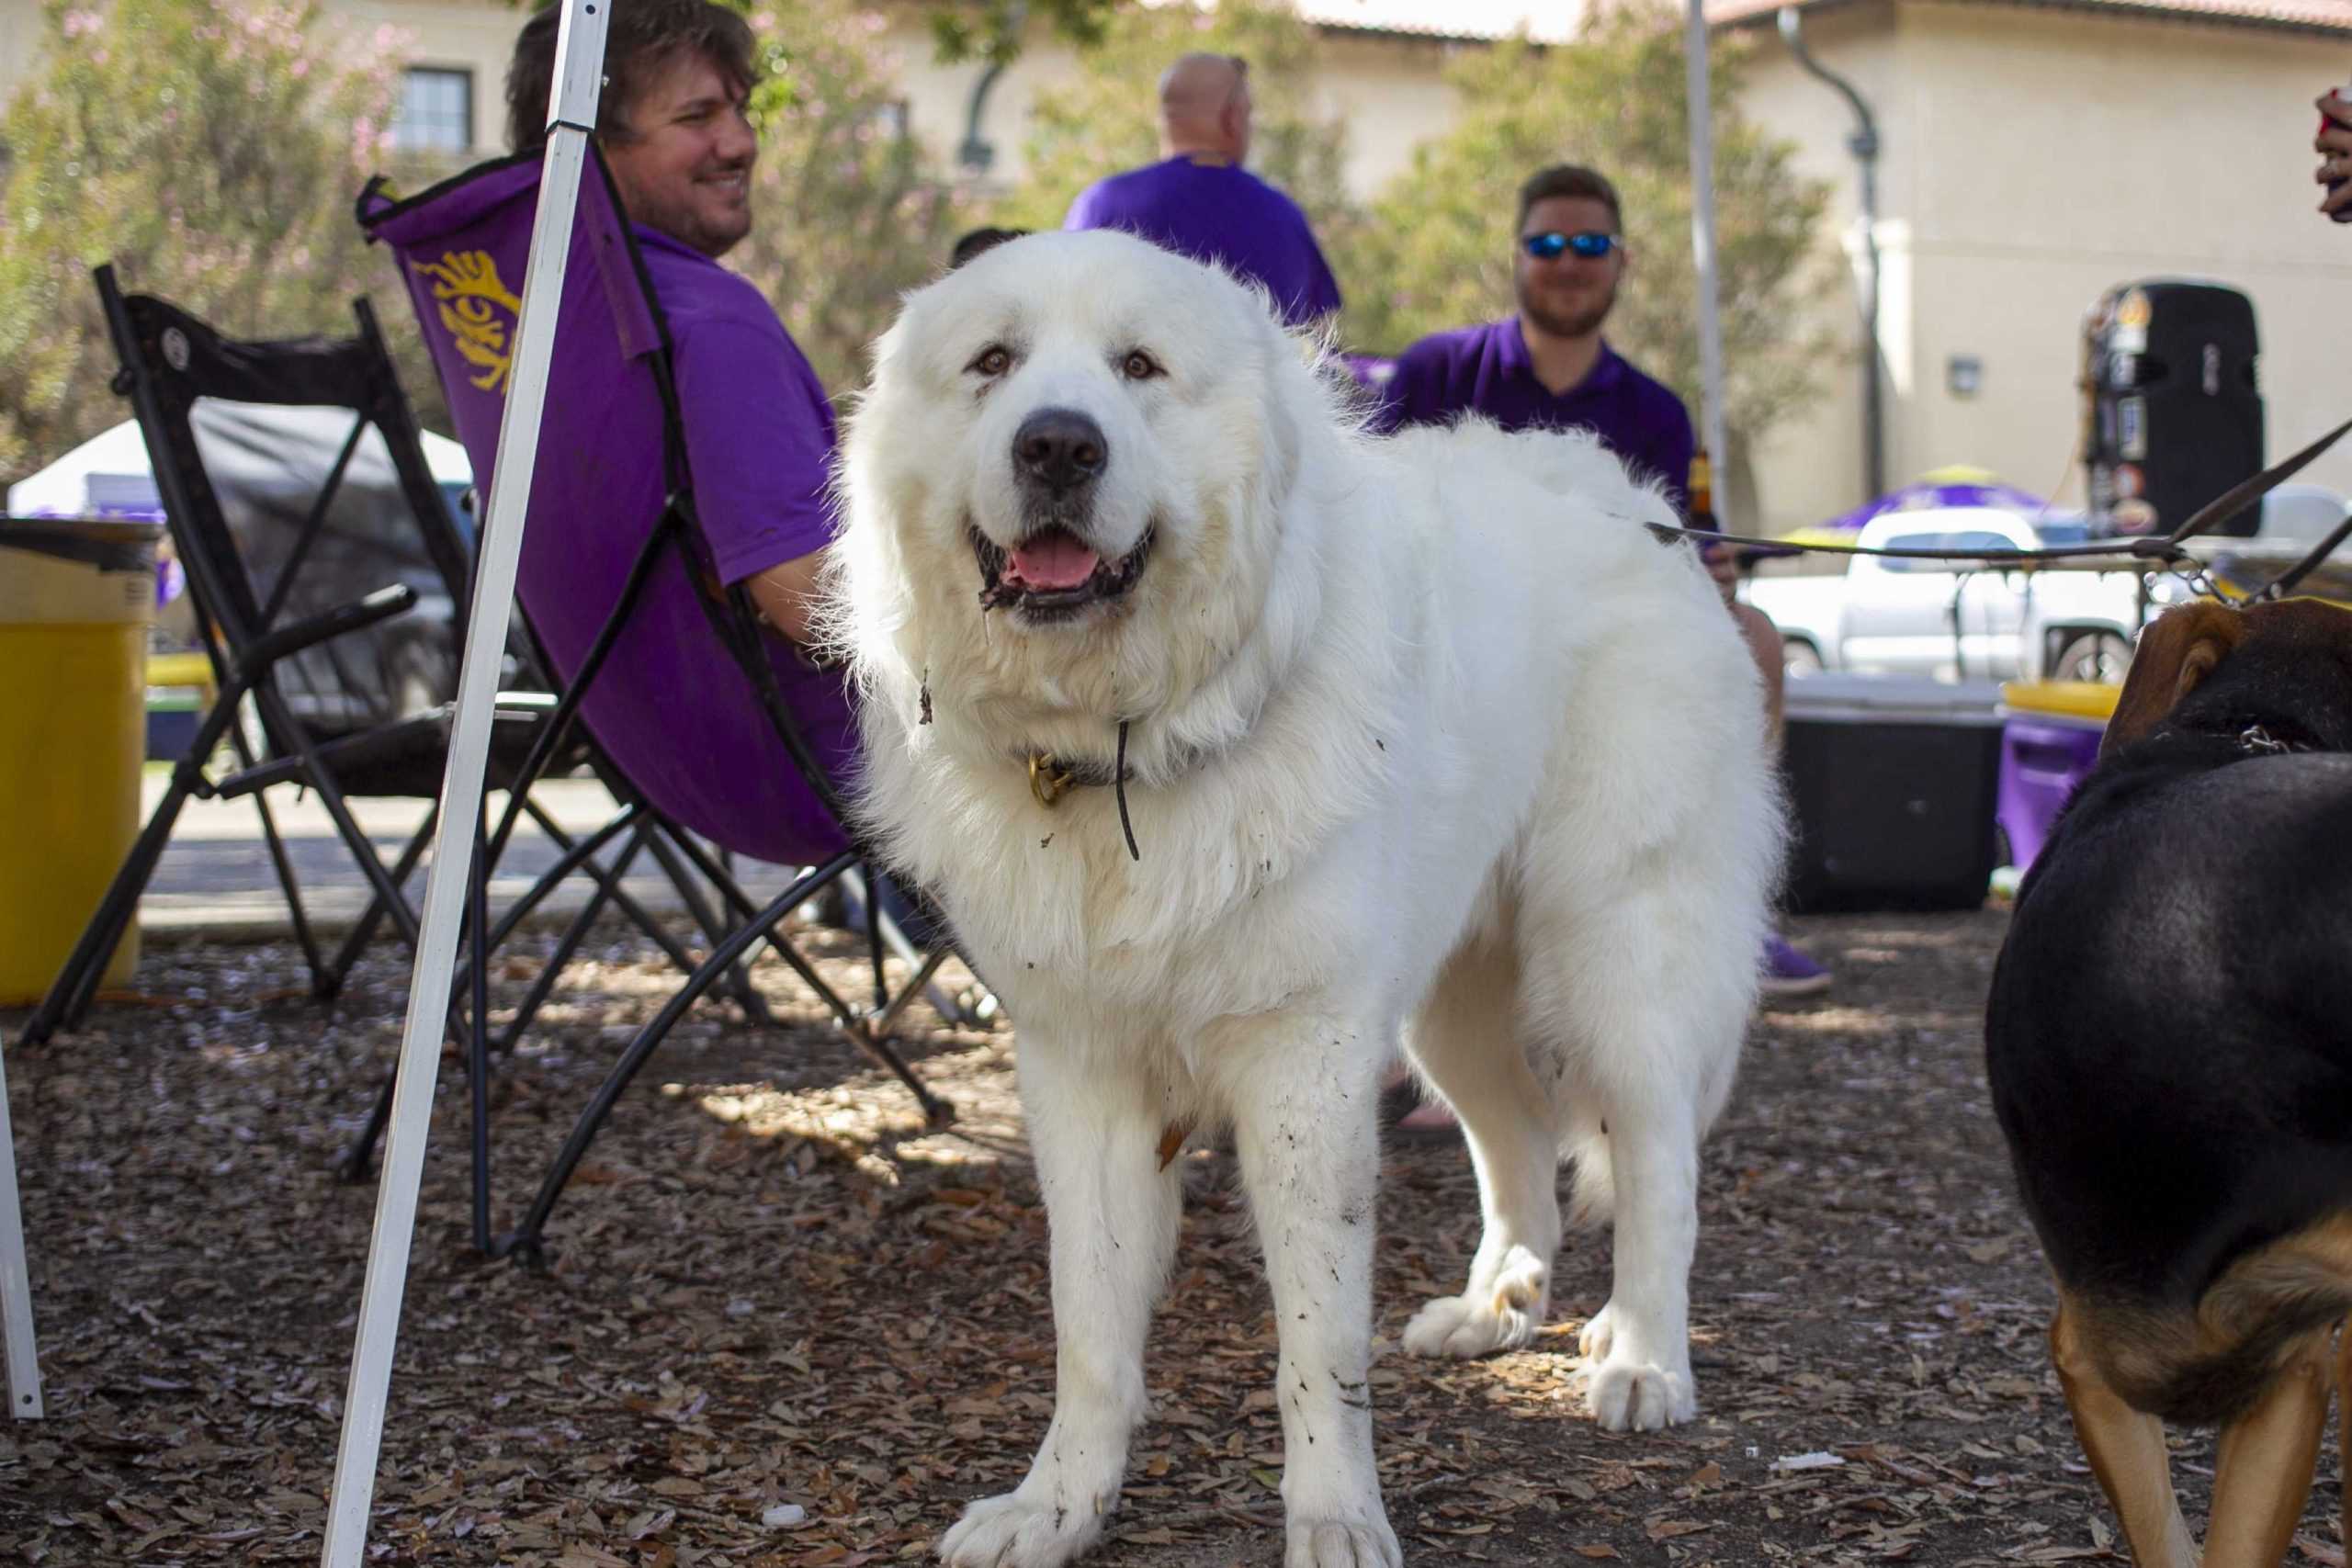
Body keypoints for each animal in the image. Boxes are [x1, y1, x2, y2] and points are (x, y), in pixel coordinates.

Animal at [828, 226, 1778, 1561]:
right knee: (1521, 1144)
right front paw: (1058, 1505)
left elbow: (1316, 1342)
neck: (1130, 746)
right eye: (994, 363)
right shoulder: (1084, 1072)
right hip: (1449, 1004)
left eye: (1138, 365)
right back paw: (1496, 1306)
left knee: (1657, 1166)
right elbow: (1090, 1326)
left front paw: (1334, 1515)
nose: (1058, 444)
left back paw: (1643, 1357)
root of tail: (1637, 502)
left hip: (1620, 954)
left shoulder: (1302, 1066)